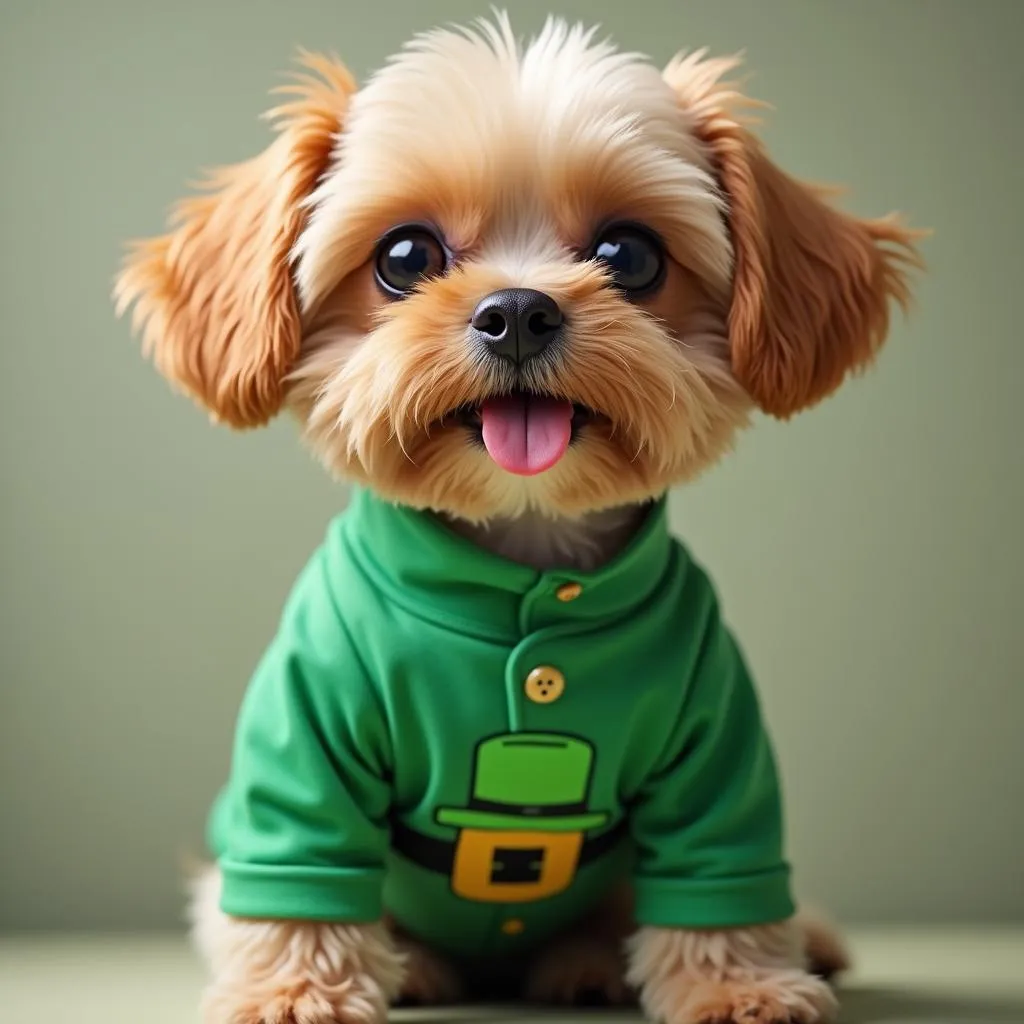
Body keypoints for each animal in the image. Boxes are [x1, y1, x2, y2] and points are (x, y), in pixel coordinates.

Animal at [116, 14, 925, 1024]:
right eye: (405, 258)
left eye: (629, 256)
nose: (516, 310)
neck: (521, 562)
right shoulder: (307, 732)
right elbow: (302, 862)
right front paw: (295, 990)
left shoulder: (718, 743)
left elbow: (719, 868)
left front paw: (739, 984)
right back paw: (424, 967)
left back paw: (608, 960)